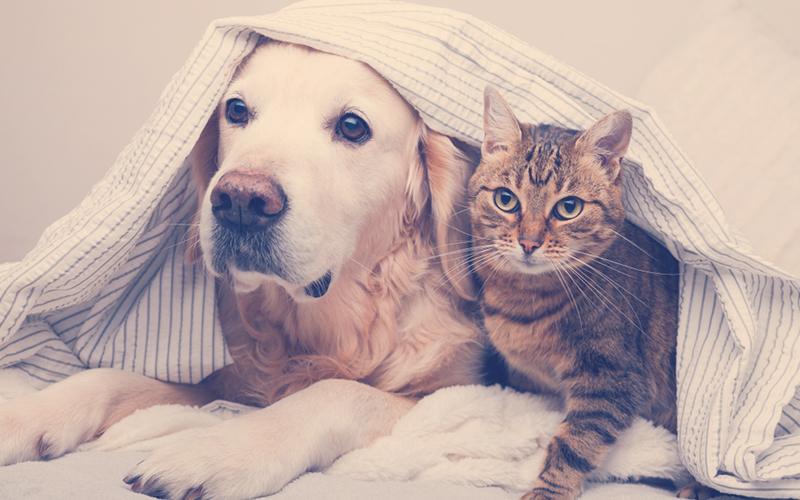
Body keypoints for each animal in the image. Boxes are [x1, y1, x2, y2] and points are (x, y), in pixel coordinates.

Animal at [0, 41, 484, 498]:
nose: (240, 201)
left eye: (352, 126)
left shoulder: (452, 392)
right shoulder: (222, 380)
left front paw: (219, 451)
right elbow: (107, 377)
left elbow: (337, 391)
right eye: (236, 110)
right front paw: (24, 416)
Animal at [472, 86, 704, 500]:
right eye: (505, 199)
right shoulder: (527, 379)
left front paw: (548, 490)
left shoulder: (612, 378)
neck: (525, 302)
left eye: (569, 207)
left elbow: (574, 442)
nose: (528, 242)